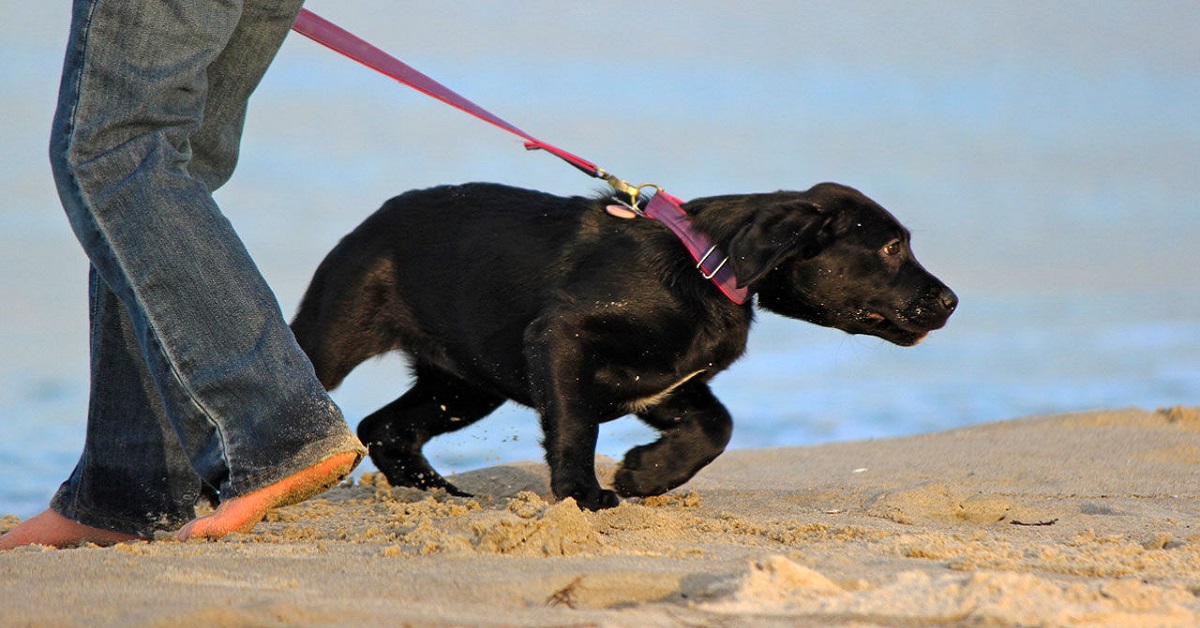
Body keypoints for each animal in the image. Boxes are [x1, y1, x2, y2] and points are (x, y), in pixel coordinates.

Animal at [292, 181, 955, 511]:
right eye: (891, 248)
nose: (950, 301)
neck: (708, 265)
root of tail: (375, 217)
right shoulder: (562, 340)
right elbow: (576, 425)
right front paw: (585, 496)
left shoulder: (666, 381)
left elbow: (718, 425)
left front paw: (646, 475)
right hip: (335, 338)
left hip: (463, 381)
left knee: (386, 427)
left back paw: (438, 496)